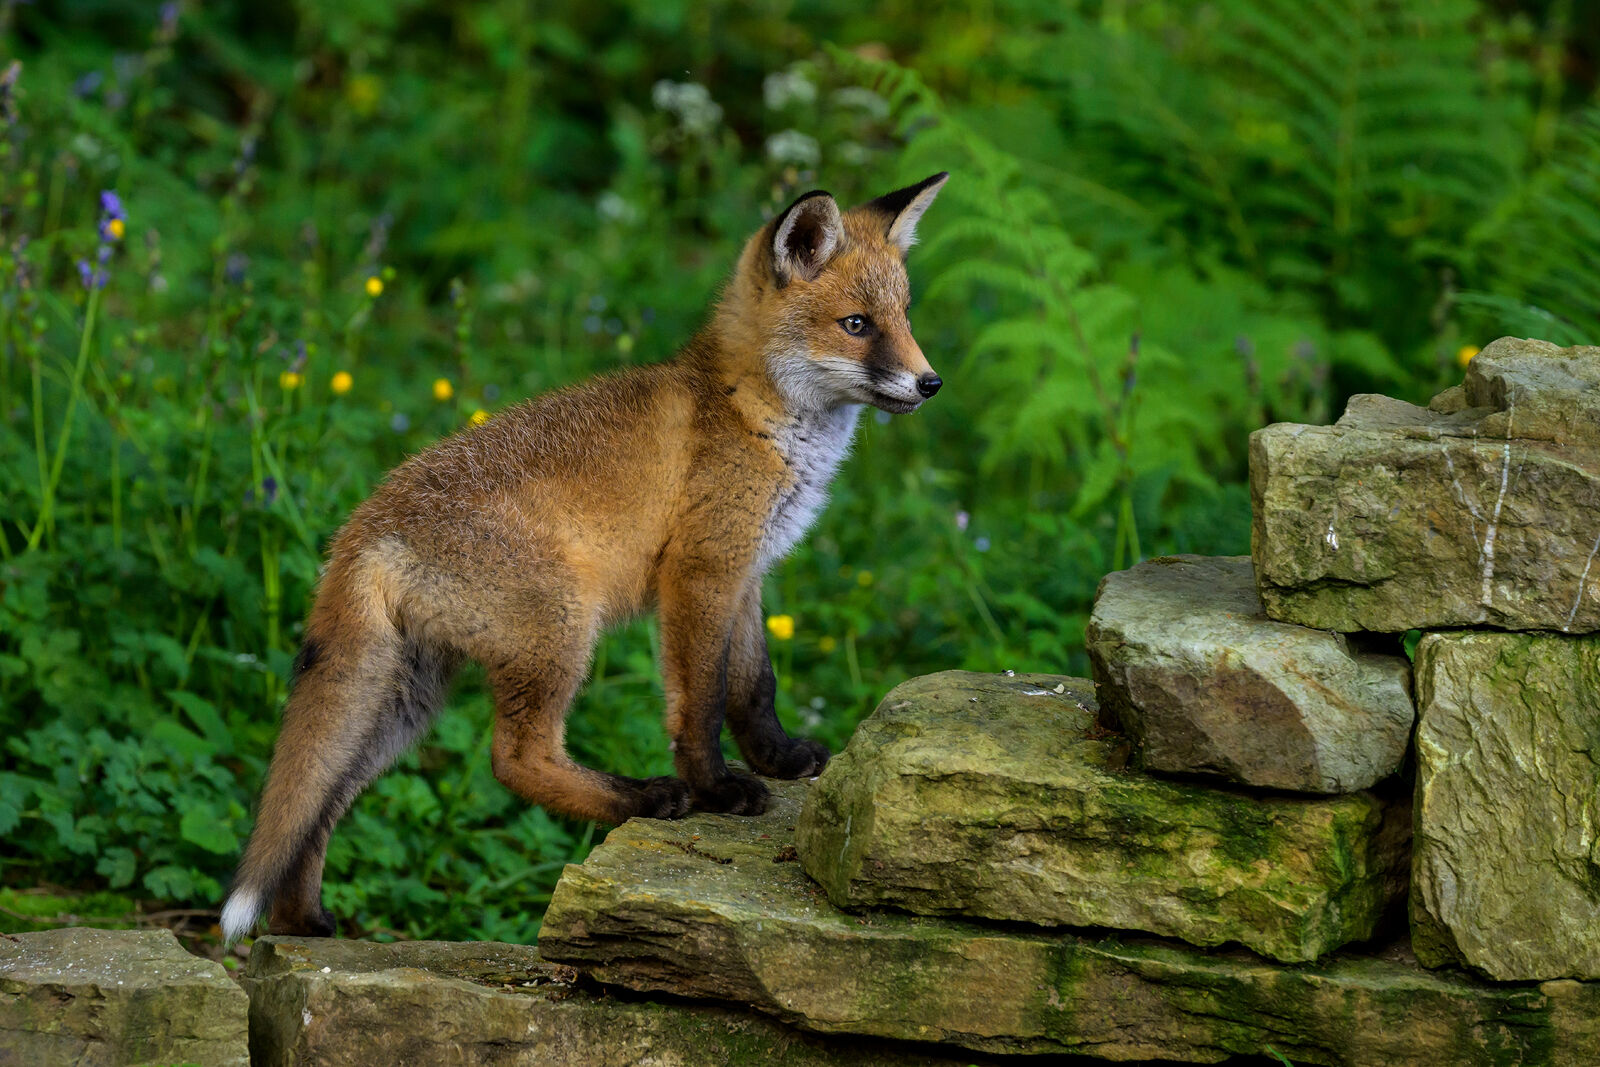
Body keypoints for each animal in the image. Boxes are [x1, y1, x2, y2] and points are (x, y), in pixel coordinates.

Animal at [220, 172, 949, 942]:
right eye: (857, 325)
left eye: (903, 316)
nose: (931, 382)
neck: (750, 412)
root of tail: (362, 527)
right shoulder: (700, 573)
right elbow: (701, 703)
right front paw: (718, 789)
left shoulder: (746, 573)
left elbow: (756, 686)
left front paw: (778, 759)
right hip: (561, 633)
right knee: (515, 761)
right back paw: (645, 797)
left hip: (406, 696)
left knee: (322, 803)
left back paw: (304, 922)